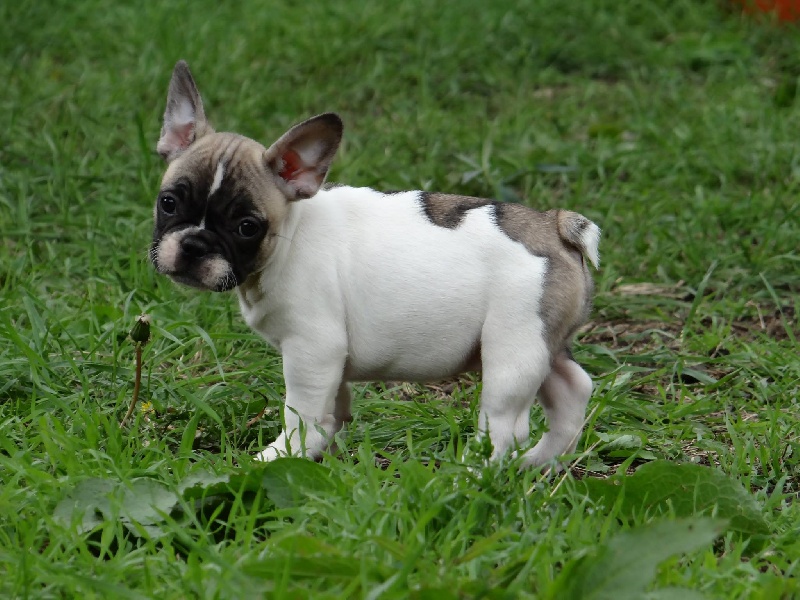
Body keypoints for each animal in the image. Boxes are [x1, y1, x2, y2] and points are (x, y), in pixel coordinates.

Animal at [150, 60, 600, 468]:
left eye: (247, 227)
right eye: (168, 203)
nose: (193, 244)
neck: (290, 236)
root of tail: (554, 225)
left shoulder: (312, 350)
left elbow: (302, 414)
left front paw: (279, 457)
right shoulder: (330, 362)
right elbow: (332, 413)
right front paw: (321, 459)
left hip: (513, 349)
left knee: (505, 427)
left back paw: (471, 476)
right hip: (543, 343)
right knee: (572, 392)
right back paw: (540, 463)